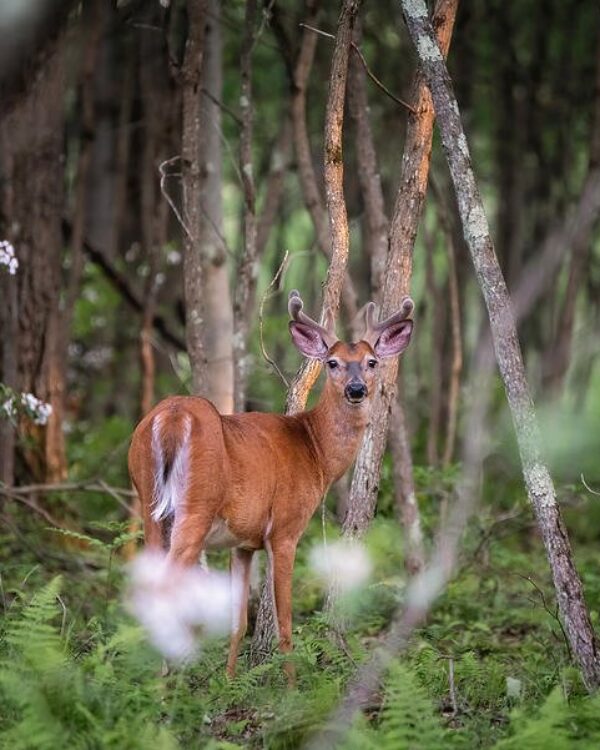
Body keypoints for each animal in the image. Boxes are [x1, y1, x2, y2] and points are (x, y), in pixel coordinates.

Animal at [127, 290, 412, 680]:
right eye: (333, 363)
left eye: (371, 362)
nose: (356, 390)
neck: (314, 450)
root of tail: (173, 415)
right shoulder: (285, 530)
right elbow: (285, 625)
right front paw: (291, 688)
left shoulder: (243, 543)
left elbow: (239, 623)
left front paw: (229, 681)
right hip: (196, 506)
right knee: (164, 586)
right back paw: (164, 684)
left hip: (148, 503)